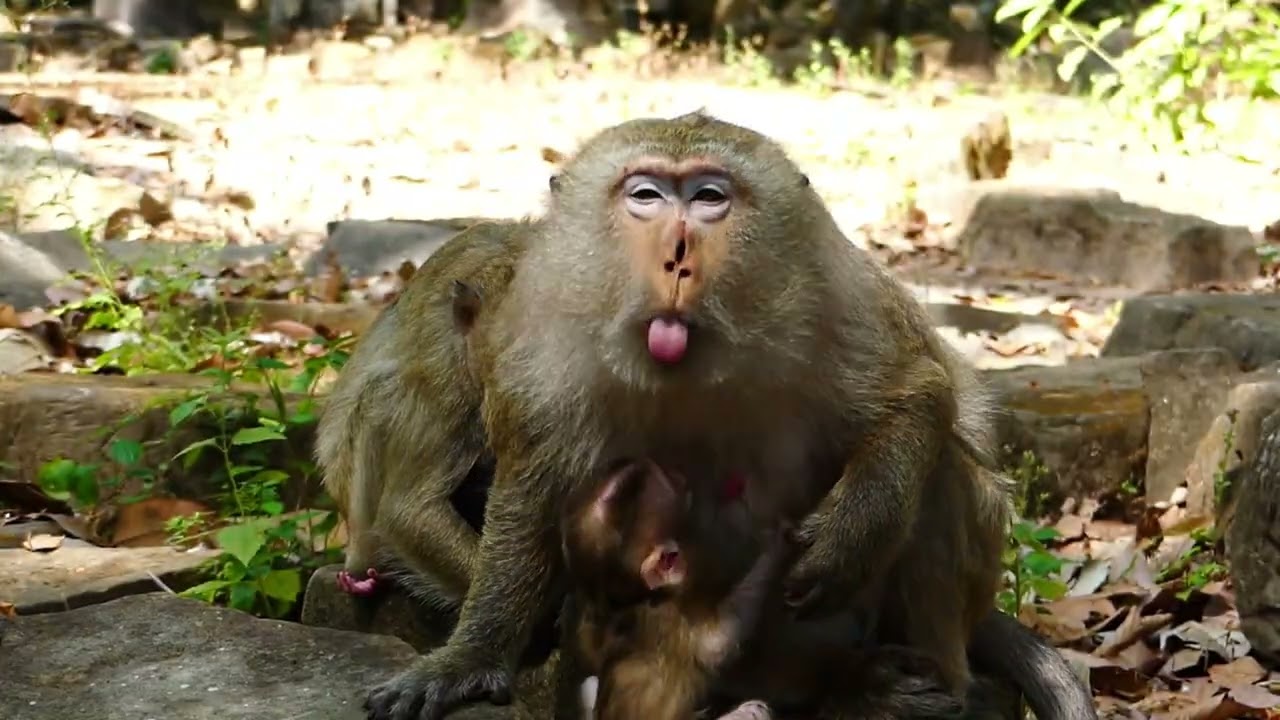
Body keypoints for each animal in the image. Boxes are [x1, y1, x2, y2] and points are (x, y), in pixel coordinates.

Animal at [358, 111, 1096, 720]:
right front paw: (471, 659)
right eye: (646, 196)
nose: (679, 254)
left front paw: (853, 532)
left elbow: (917, 392)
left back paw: (898, 686)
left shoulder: (828, 299)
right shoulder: (539, 342)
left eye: (710, 198)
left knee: (941, 471)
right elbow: (534, 492)